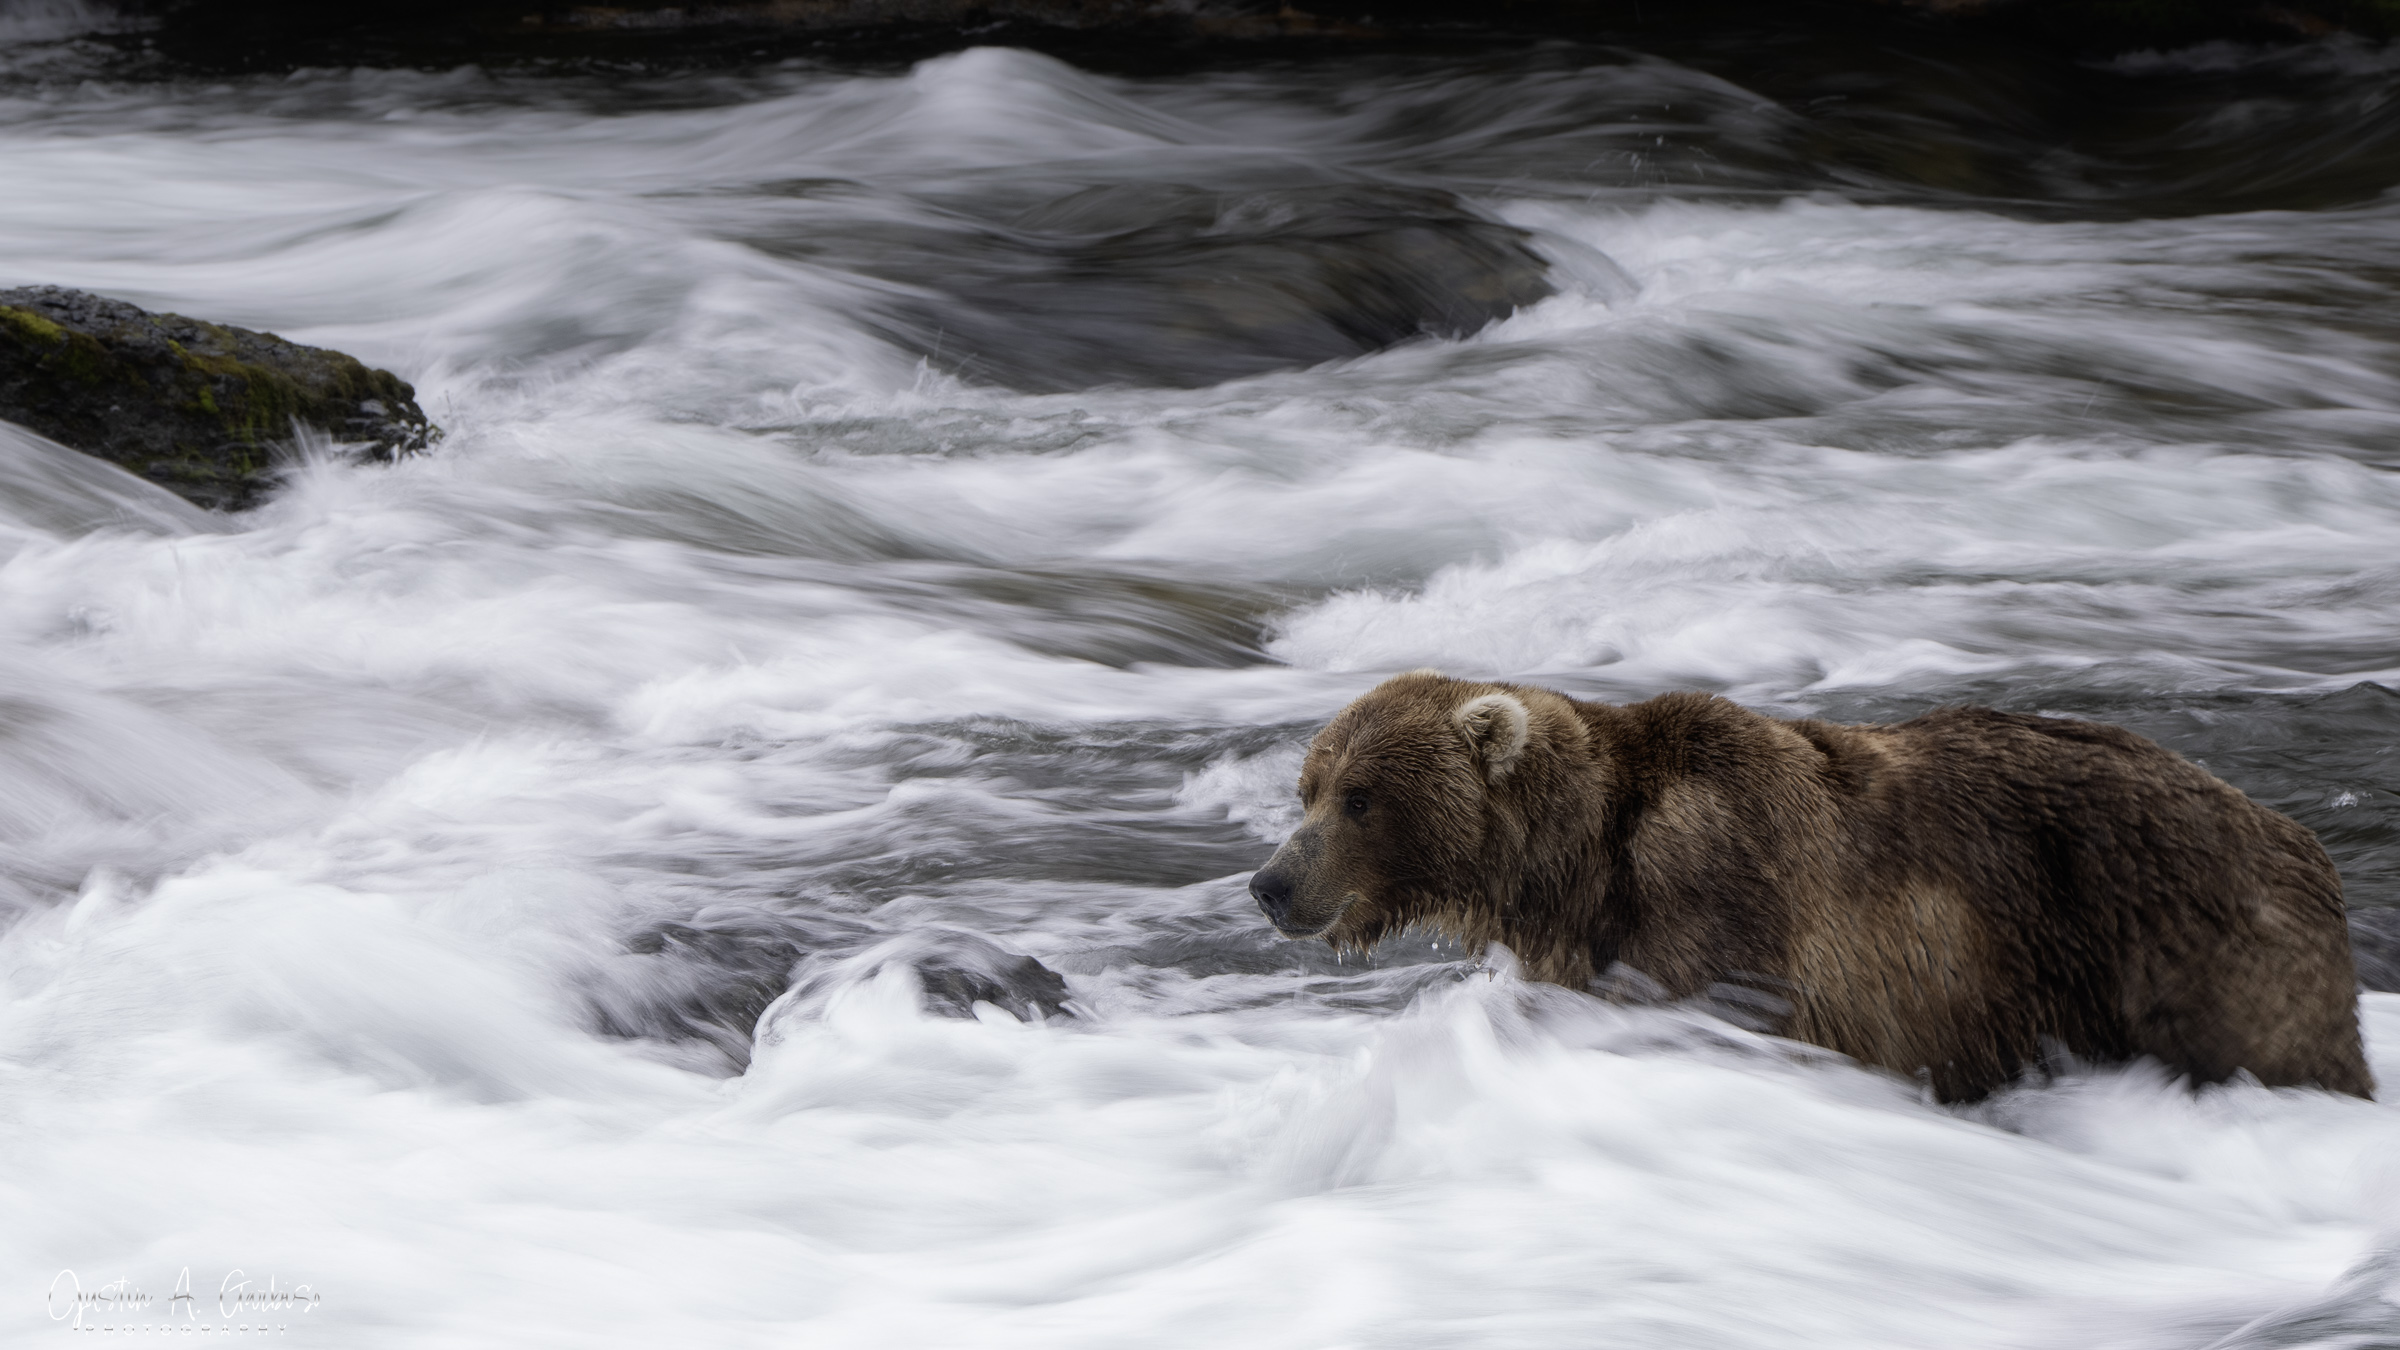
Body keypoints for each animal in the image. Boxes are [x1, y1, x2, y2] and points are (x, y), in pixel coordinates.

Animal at [1247, 671, 2373, 1102]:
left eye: (1360, 797)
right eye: (1307, 787)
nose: (1269, 882)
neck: (1580, 864)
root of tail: (2298, 837)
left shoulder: (1724, 909)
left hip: (2190, 940)